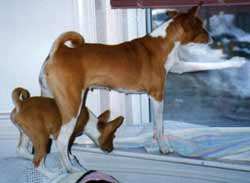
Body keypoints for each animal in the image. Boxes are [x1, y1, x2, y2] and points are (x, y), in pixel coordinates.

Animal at [39, 4, 211, 173]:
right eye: (201, 26)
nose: (212, 38)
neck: (163, 44)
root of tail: (58, 51)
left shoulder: (153, 97)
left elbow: (156, 127)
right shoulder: (157, 95)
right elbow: (160, 126)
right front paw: (163, 148)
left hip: (53, 101)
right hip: (73, 105)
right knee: (62, 139)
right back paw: (71, 169)